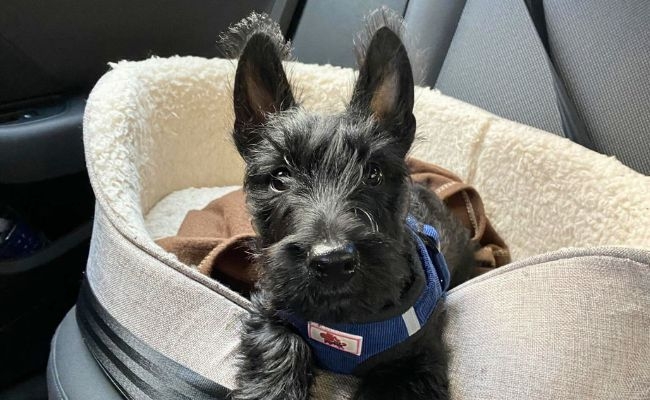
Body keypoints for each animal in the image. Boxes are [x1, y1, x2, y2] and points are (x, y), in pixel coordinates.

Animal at [227, 9, 470, 400]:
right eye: (279, 177)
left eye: (373, 173)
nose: (333, 262)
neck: (345, 322)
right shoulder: (271, 310)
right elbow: (282, 344)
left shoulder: (419, 361)